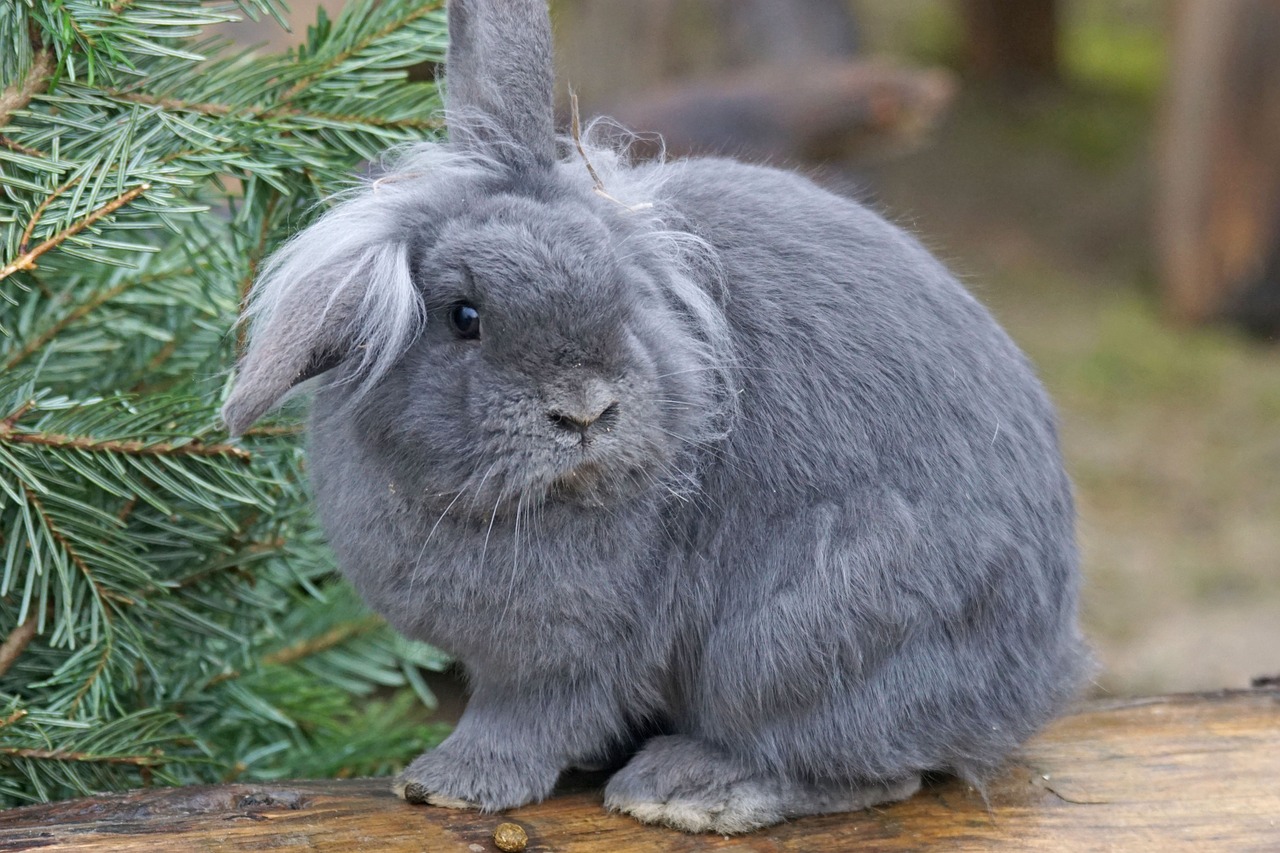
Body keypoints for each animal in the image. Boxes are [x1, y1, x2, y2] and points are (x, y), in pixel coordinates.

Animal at [221, 0, 1089, 835]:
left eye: (622, 295)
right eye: (464, 317)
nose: (585, 410)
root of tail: (1038, 673)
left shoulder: (570, 655)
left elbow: (528, 720)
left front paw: (447, 784)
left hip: (799, 640)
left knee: (868, 768)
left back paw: (691, 789)